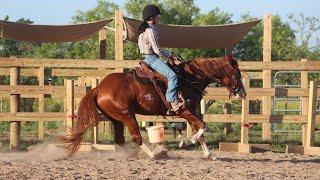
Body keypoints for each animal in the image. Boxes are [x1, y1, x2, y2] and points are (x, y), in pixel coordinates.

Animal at [61, 56, 246, 158]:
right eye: (237, 74)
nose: (243, 93)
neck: (190, 78)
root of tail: (99, 87)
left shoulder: (192, 110)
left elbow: (199, 130)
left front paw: (209, 154)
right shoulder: (184, 111)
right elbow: (202, 126)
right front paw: (185, 142)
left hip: (117, 119)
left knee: (119, 139)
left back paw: (132, 155)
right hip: (127, 115)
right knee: (136, 137)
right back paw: (154, 154)